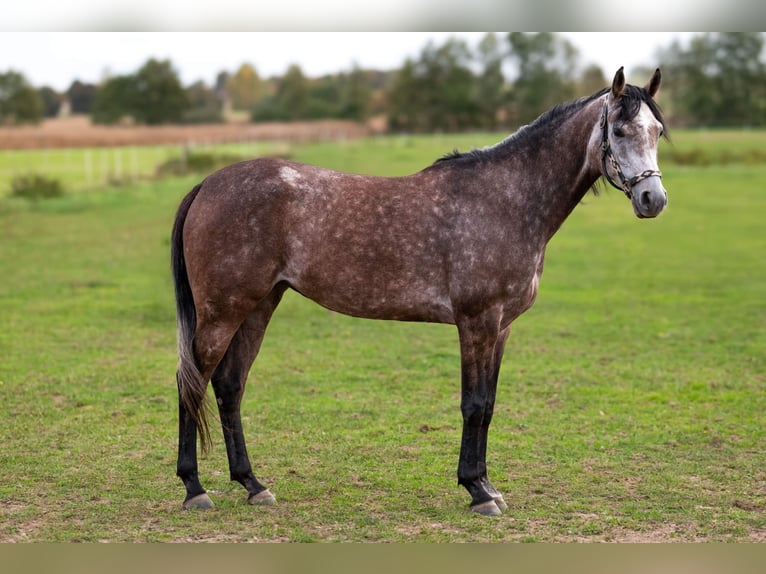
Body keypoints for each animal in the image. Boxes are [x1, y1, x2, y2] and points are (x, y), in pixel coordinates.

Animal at [171, 67, 668, 516]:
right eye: (619, 129)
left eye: (658, 130)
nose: (654, 200)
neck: (507, 200)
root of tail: (207, 184)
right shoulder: (477, 322)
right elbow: (473, 404)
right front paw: (477, 491)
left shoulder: (502, 327)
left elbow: (489, 404)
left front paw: (488, 486)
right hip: (222, 312)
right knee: (190, 382)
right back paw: (195, 489)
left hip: (258, 305)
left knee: (229, 385)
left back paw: (253, 485)